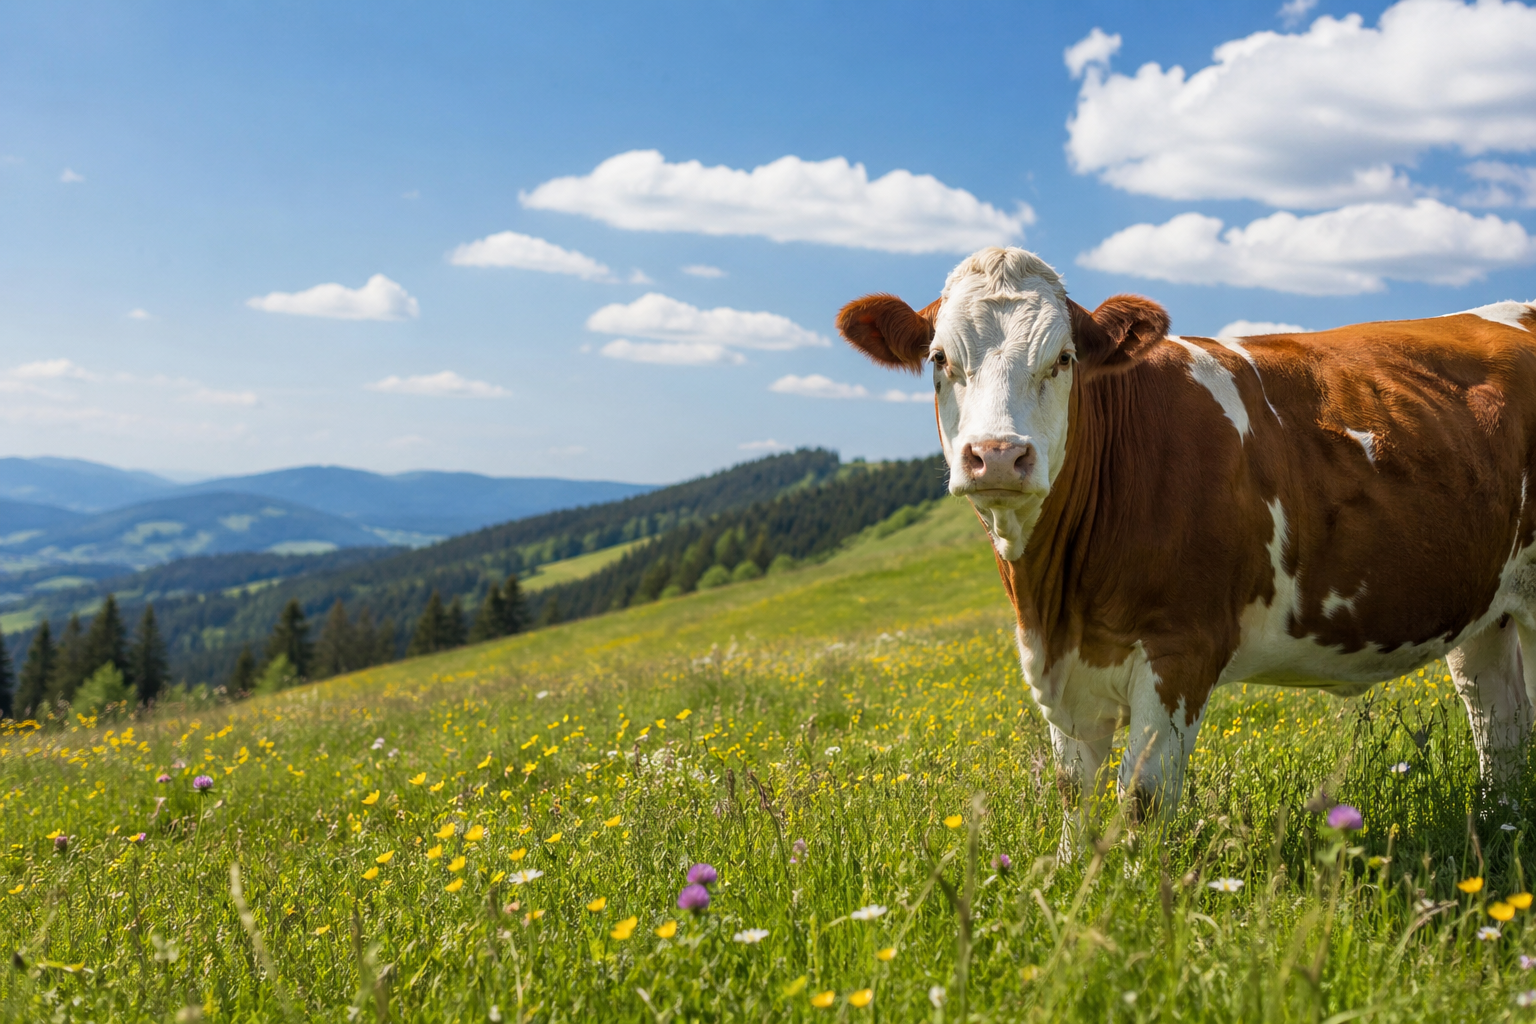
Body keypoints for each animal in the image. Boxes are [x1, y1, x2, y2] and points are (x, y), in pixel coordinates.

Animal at [836, 246, 1536, 836]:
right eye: (939, 360)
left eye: (1063, 359)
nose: (1000, 455)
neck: (1056, 603)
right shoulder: (1061, 671)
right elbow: (1071, 792)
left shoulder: (1182, 648)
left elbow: (1142, 801)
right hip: (1486, 612)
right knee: (1499, 725)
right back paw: (1498, 824)